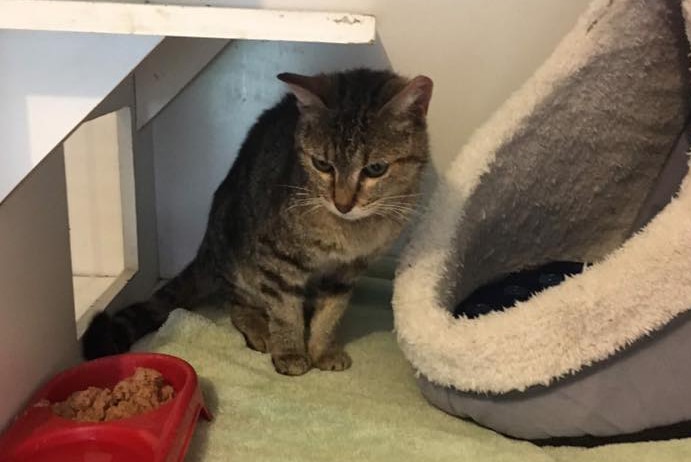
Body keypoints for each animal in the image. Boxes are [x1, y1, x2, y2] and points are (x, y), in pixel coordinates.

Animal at [84, 70, 432, 378]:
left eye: (375, 169)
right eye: (322, 164)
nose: (343, 203)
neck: (349, 232)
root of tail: (206, 250)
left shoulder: (346, 272)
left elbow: (330, 314)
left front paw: (322, 349)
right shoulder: (277, 259)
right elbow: (285, 310)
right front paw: (290, 352)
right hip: (238, 259)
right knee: (237, 303)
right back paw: (259, 329)